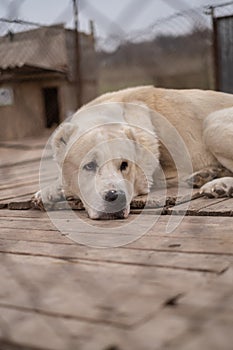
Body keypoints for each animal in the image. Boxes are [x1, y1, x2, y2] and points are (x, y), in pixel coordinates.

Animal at [32, 86, 233, 219]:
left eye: (124, 165)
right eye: (89, 166)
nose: (115, 198)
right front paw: (47, 192)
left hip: (212, 125)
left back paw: (220, 185)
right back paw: (207, 175)